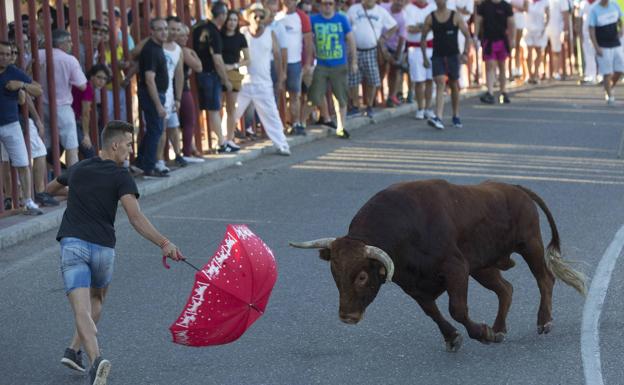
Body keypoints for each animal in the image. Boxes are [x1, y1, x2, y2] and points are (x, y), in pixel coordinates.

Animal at [290, 180, 588, 352]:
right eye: (334, 272)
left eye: (362, 276)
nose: (348, 317)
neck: (404, 227)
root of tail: (515, 189)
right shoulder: (413, 285)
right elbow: (432, 312)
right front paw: (455, 337)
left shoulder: (456, 268)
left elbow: (457, 309)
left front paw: (481, 333)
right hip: (482, 266)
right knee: (506, 288)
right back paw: (500, 328)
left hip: (530, 244)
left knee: (544, 279)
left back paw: (543, 321)